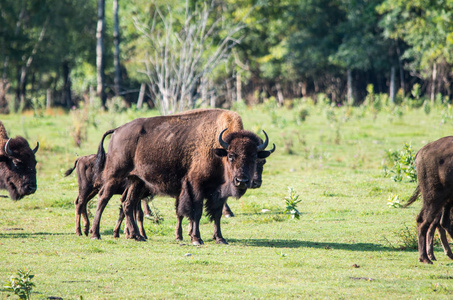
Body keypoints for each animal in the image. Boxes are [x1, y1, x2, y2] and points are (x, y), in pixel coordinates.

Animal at [88, 109, 272, 244]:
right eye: (232, 155)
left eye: (254, 157)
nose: (242, 181)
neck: (218, 149)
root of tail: (117, 130)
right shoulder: (195, 186)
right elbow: (195, 211)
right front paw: (196, 239)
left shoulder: (219, 193)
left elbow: (217, 214)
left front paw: (220, 238)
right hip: (115, 175)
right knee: (103, 199)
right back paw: (95, 234)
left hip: (136, 180)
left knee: (128, 203)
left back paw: (137, 236)